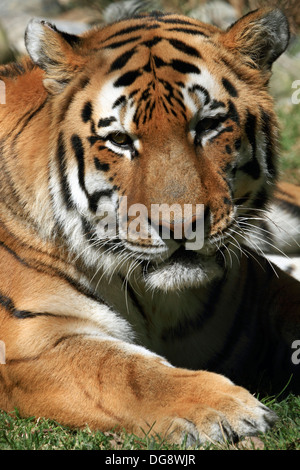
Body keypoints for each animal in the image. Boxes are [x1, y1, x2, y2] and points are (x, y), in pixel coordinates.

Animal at [0, 4, 298, 444]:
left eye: (207, 125)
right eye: (121, 140)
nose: (180, 228)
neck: (160, 302)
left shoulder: (260, 288)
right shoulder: (33, 337)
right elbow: (123, 372)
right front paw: (228, 409)